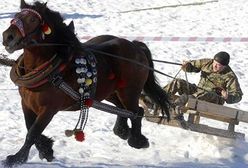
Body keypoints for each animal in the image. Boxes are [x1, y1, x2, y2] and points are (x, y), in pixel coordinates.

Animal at [1, 0, 170, 167]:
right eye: (15, 17)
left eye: (32, 19)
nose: (7, 36)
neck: (50, 70)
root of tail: (136, 46)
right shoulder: (26, 104)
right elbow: (29, 127)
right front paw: (45, 149)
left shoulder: (49, 109)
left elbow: (33, 132)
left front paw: (17, 158)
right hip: (108, 91)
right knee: (122, 109)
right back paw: (121, 131)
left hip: (129, 91)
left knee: (136, 112)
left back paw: (137, 140)